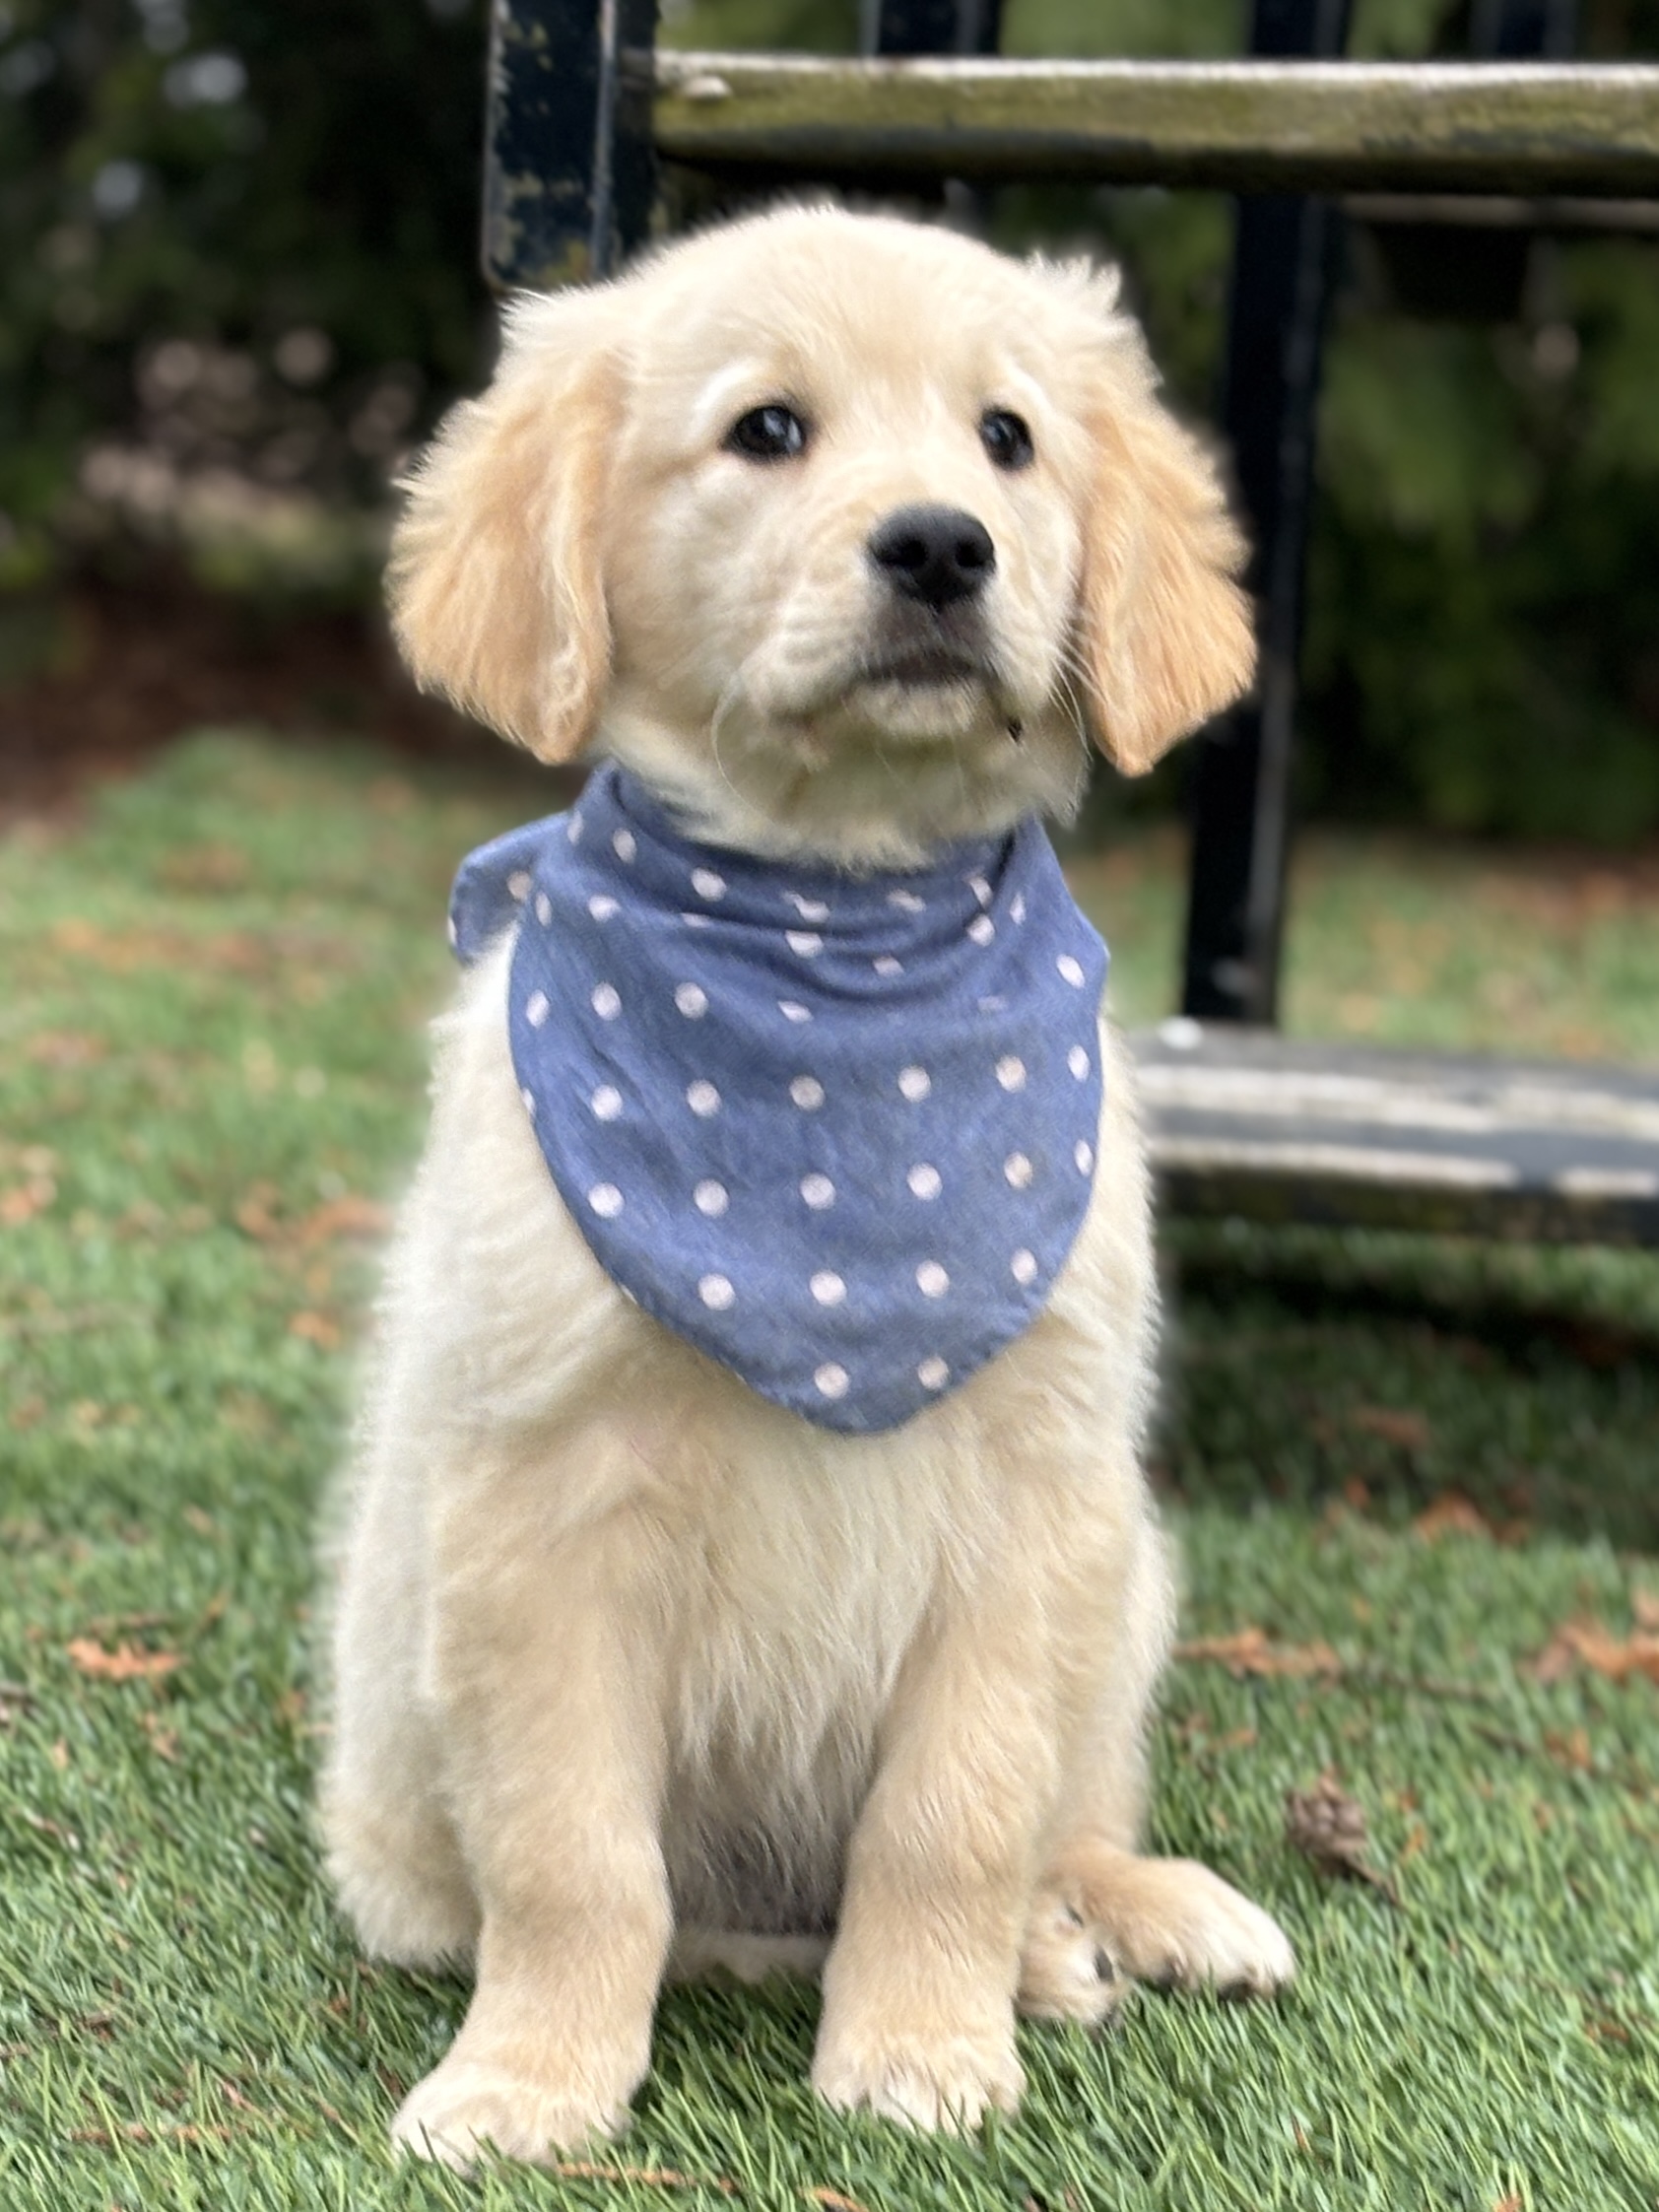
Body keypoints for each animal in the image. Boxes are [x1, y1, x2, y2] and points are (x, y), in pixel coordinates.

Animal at [318, 199, 1292, 2168]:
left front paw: (918, 2050)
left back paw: (1119, 1922)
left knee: (1065, 1818)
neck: (833, 940)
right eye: (766, 429)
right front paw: (529, 2078)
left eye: (1006, 439)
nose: (939, 545)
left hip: (1126, 1570)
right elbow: (578, 1860)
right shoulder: (534, 1516)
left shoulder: (1031, 1503)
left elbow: (954, 1820)